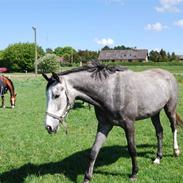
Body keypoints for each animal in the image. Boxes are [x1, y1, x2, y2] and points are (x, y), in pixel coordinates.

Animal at [41, 62, 183, 182]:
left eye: (56, 95)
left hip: (170, 109)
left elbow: (132, 149)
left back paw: (176, 151)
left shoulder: (129, 125)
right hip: (154, 113)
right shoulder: (104, 125)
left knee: (173, 127)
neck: (111, 92)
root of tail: (168, 74)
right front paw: (87, 177)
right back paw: (158, 158)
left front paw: (134, 173)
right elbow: (94, 151)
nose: (48, 127)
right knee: (159, 132)